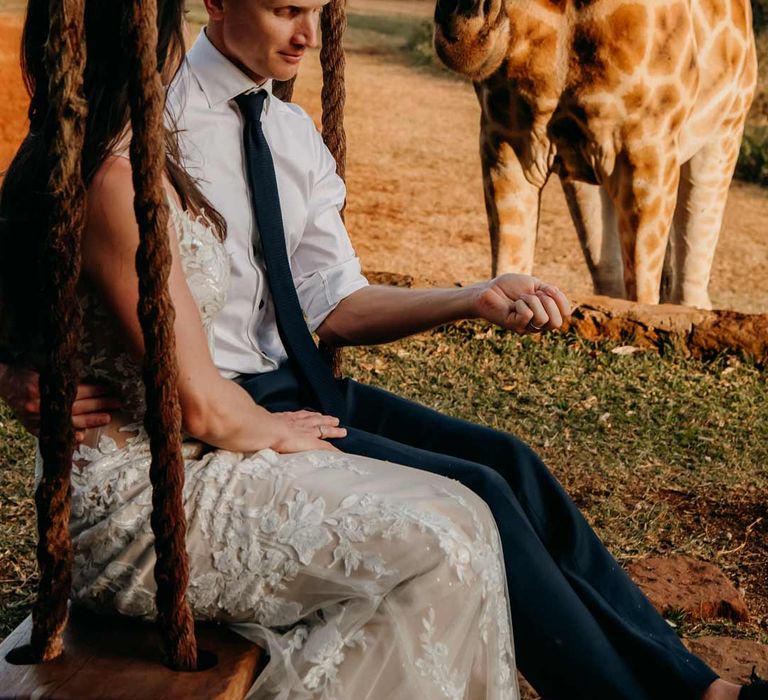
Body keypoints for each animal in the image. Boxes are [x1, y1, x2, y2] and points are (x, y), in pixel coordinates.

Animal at [432, 0, 756, 308]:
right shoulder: (506, 138)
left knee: (690, 282)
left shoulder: (650, 148)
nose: (464, 28)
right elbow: (508, 268)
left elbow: (642, 295)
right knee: (609, 275)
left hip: (725, 131)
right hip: (584, 167)